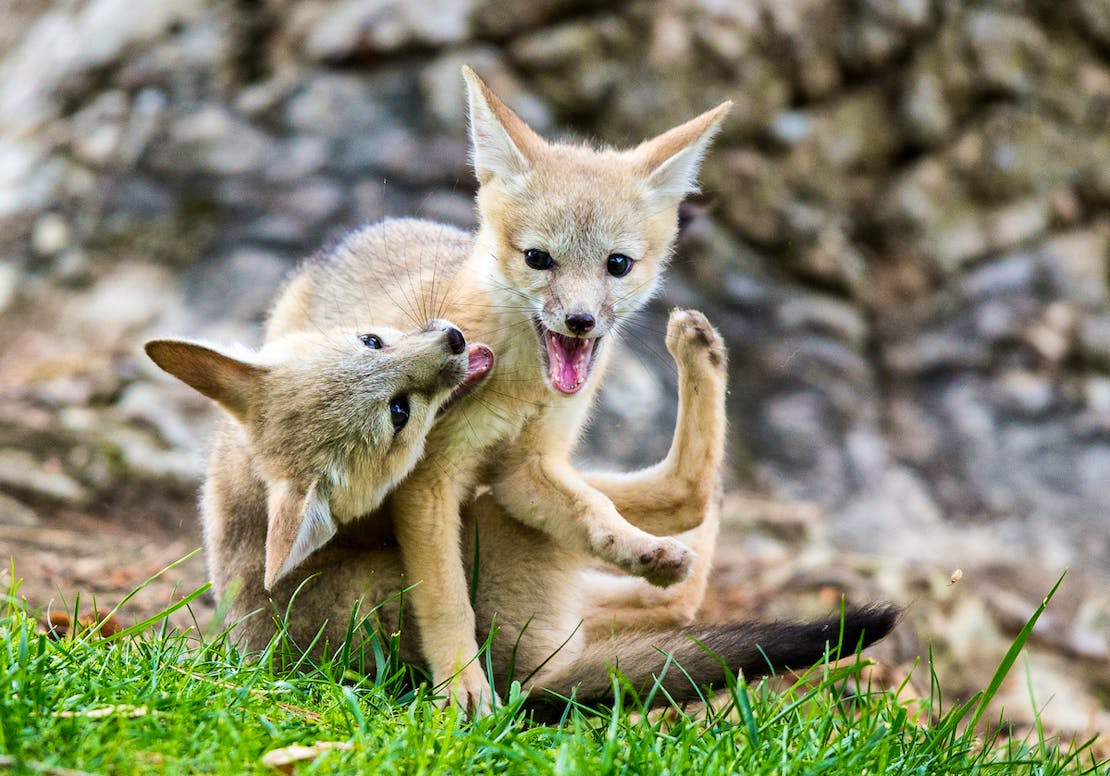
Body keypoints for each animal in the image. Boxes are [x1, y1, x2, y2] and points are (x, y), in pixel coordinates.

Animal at [146, 308, 898, 713]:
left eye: (373, 342)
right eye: (398, 413)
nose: (454, 339)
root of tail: (532, 689)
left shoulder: (496, 469)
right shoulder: (486, 480)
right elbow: (642, 505)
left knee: (672, 593)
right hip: (505, 524)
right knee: (680, 528)